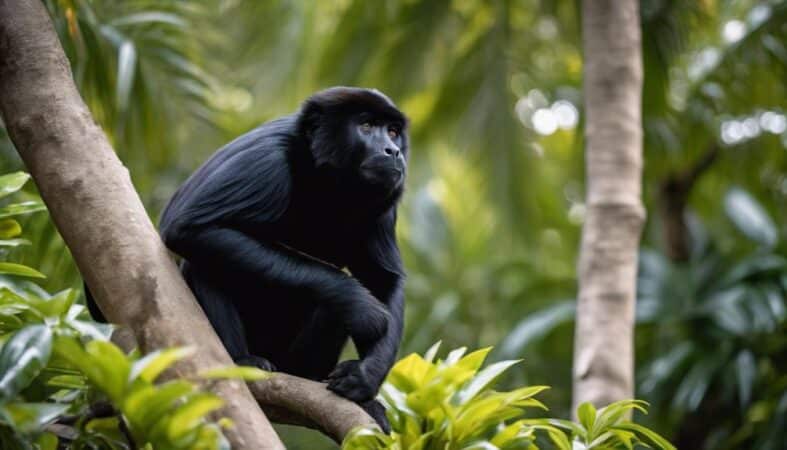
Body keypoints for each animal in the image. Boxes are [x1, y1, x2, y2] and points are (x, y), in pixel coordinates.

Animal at [87, 86, 406, 428]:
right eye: (366, 126)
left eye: (392, 131)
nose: (393, 151)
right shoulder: (266, 159)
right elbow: (187, 226)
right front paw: (359, 303)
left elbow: (384, 279)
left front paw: (366, 377)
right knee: (203, 262)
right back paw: (242, 361)